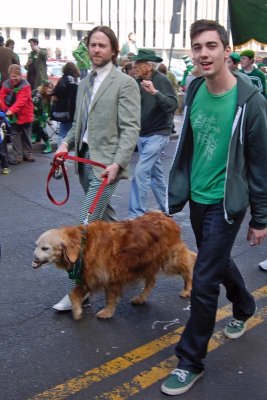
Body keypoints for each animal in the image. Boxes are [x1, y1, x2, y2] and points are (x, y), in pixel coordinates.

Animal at [33, 211, 197, 320]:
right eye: (36, 246)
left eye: (45, 248)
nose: (34, 259)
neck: (83, 244)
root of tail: (165, 216)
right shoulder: (90, 276)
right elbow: (73, 294)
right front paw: (77, 310)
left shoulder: (110, 277)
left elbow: (110, 297)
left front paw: (107, 312)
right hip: (145, 263)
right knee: (151, 281)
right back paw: (141, 297)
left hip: (170, 259)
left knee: (189, 263)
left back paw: (187, 288)